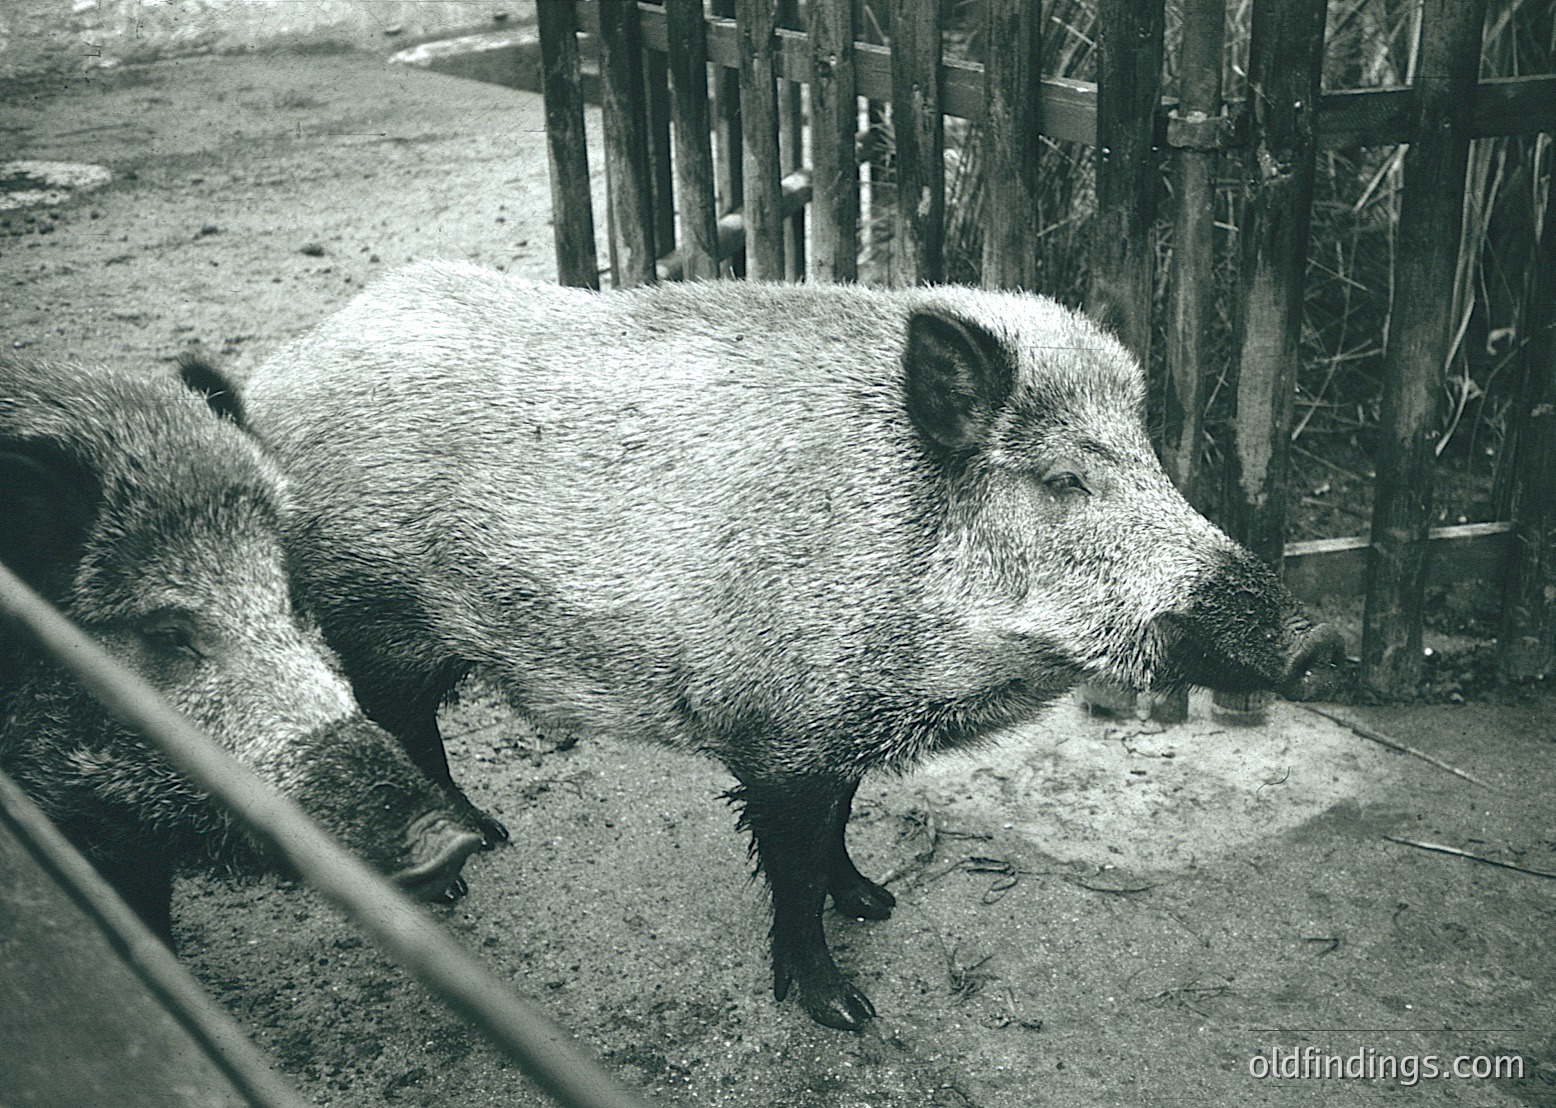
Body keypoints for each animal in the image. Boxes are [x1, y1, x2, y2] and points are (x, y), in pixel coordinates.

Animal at [239, 261, 1344, 1030]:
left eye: (1152, 460)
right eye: (1063, 479)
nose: (1316, 638)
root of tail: (278, 371)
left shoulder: (840, 723)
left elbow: (842, 831)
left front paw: (879, 902)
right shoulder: (779, 735)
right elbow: (796, 868)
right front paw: (845, 1011)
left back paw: (492, 835)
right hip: (371, 614)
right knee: (405, 726)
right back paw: (464, 866)